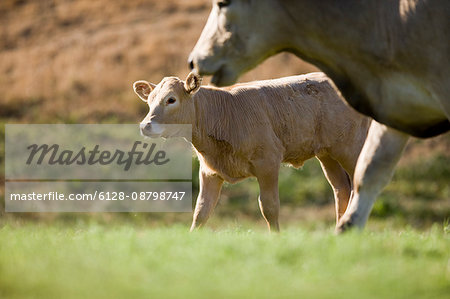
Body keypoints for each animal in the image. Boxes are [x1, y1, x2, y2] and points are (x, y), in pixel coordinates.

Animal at [133, 72, 370, 232]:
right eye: (150, 100)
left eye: (171, 99)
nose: (145, 125)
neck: (224, 113)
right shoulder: (209, 171)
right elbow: (201, 211)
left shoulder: (268, 162)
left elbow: (269, 206)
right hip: (327, 154)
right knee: (341, 188)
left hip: (351, 147)